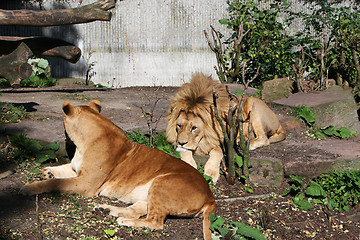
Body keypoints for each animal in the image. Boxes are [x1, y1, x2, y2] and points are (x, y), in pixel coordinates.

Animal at [19, 99, 215, 240]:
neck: (82, 144)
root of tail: (210, 196)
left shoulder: (85, 184)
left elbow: (55, 183)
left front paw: (29, 188)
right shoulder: (78, 172)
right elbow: (61, 170)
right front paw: (48, 171)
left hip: (162, 181)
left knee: (156, 222)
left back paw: (124, 221)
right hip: (150, 194)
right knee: (138, 210)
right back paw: (105, 210)